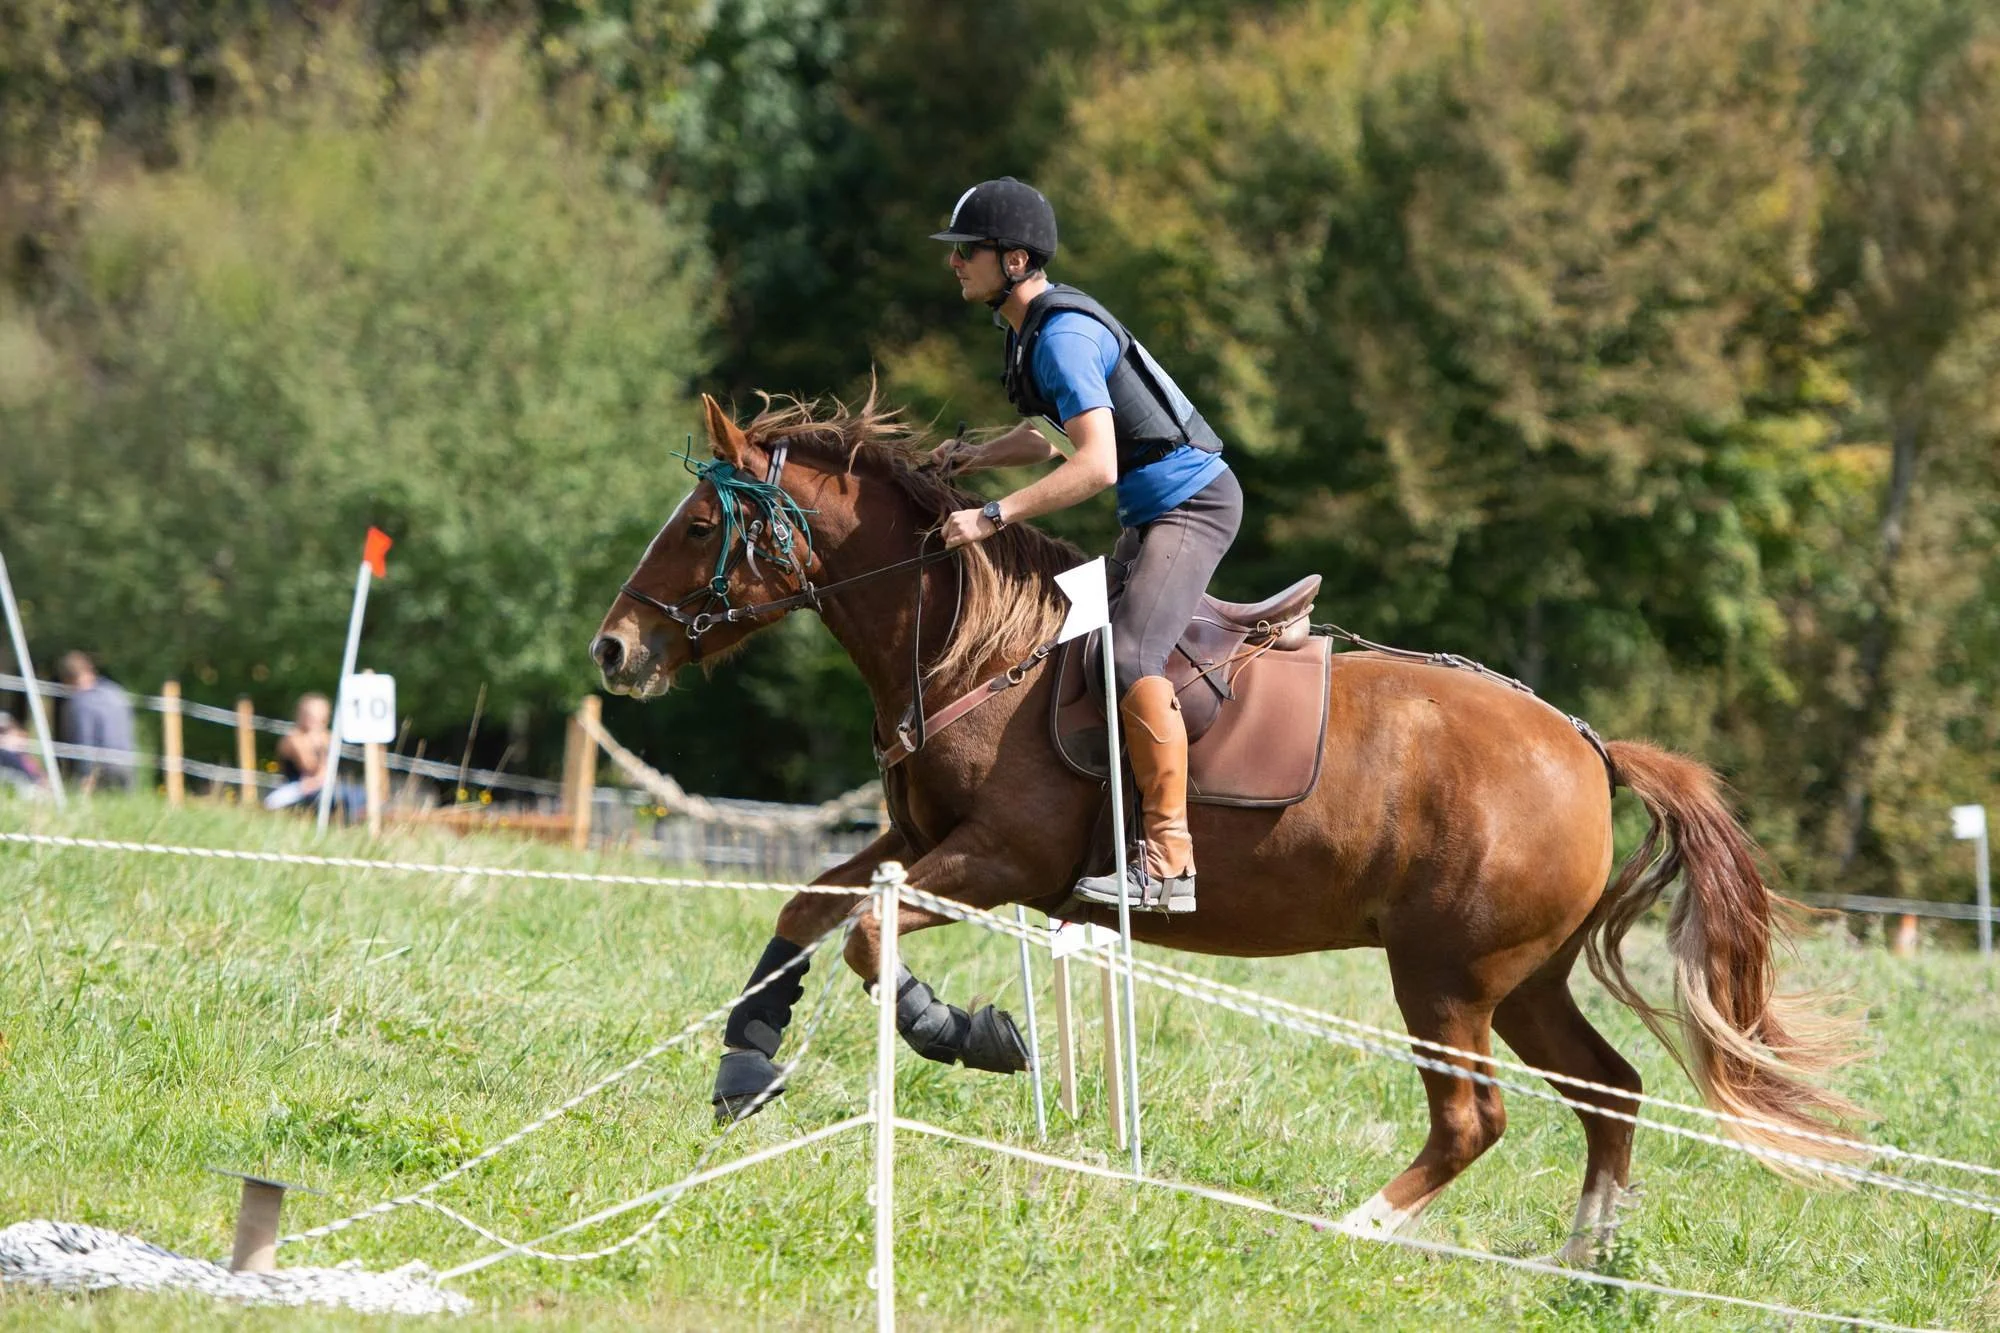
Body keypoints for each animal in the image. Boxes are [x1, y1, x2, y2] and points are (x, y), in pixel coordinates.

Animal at [590, 393, 1862, 1264]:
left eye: (698, 523)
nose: (613, 649)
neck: (973, 645)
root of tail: (1587, 745)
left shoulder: (997, 860)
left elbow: (867, 935)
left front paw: (968, 1032)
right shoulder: (923, 842)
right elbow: (810, 906)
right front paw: (745, 1062)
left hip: (1443, 976)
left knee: (1474, 1116)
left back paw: (1359, 1227)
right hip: (1523, 976)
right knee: (1608, 1089)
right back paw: (1582, 1259)